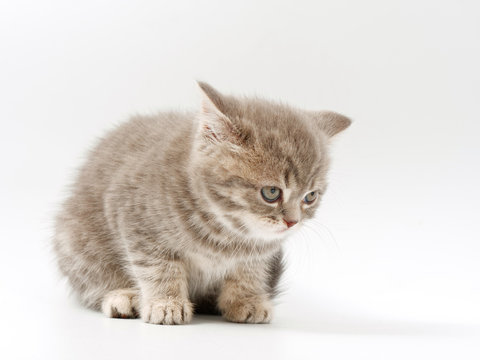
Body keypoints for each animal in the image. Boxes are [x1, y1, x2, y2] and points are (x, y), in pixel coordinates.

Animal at [52, 83, 350, 324]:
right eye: (271, 192)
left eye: (310, 197)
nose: (292, 222)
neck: (227, 232)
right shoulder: (138, 223)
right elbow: (157, 268)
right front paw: (166, 304)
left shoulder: (260, 253)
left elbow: (250, 271)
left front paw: (247, 300)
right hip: (75, 239)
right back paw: (123, 296)